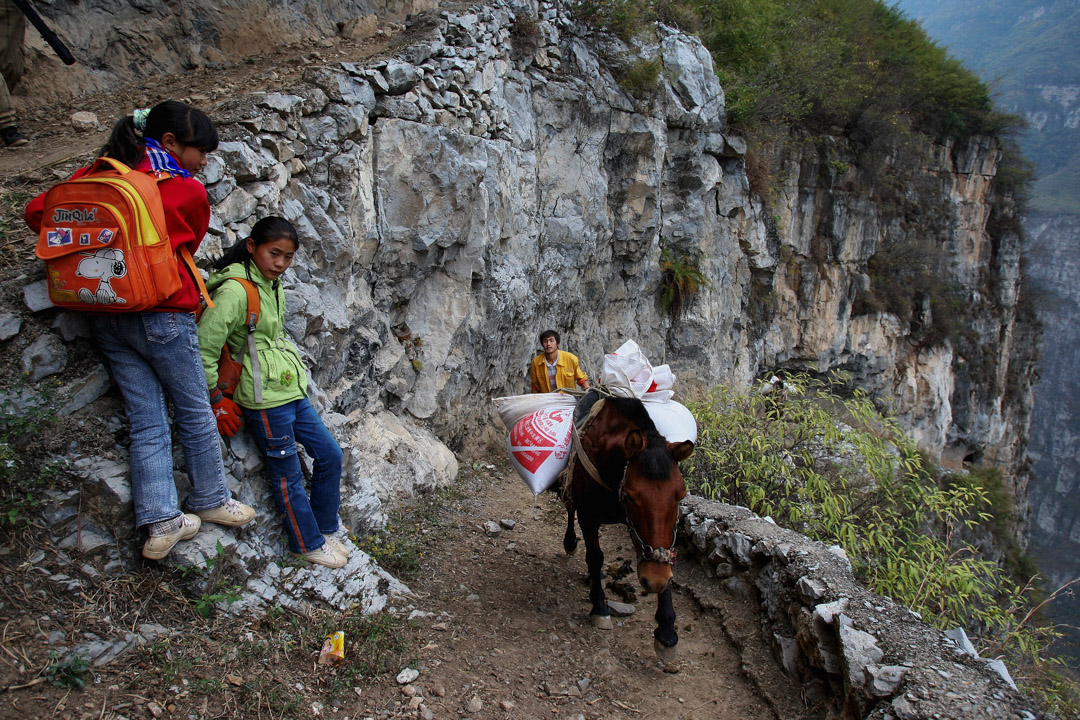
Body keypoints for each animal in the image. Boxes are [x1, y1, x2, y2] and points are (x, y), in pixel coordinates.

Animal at [561, 395, 695, 664]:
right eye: (631, 496)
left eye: (680, 495)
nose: (654, 580)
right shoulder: (588, 517)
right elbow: (595, 557)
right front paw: (599, 607)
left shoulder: (643, 533)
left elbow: (665, 555)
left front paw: (667, 633)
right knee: (570, 510)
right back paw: (570, 544)